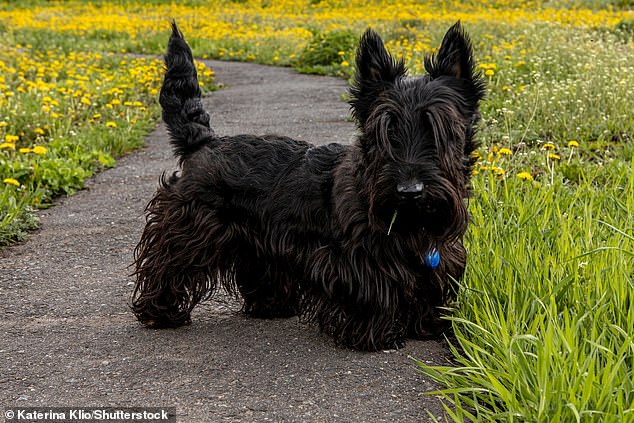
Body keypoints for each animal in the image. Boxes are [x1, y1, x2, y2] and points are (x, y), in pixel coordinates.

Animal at [131, 22, 482, 352]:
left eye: (439, 129)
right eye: (385, 130)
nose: (410, 192)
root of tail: (204, 142)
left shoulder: (436, 257)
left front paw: (430, 325)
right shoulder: (358, 262)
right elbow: (374, 295)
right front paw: (375, 334)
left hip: (253, 242)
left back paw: (271, 306)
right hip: (189, 230)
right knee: (166, 265)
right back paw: (159, 312)